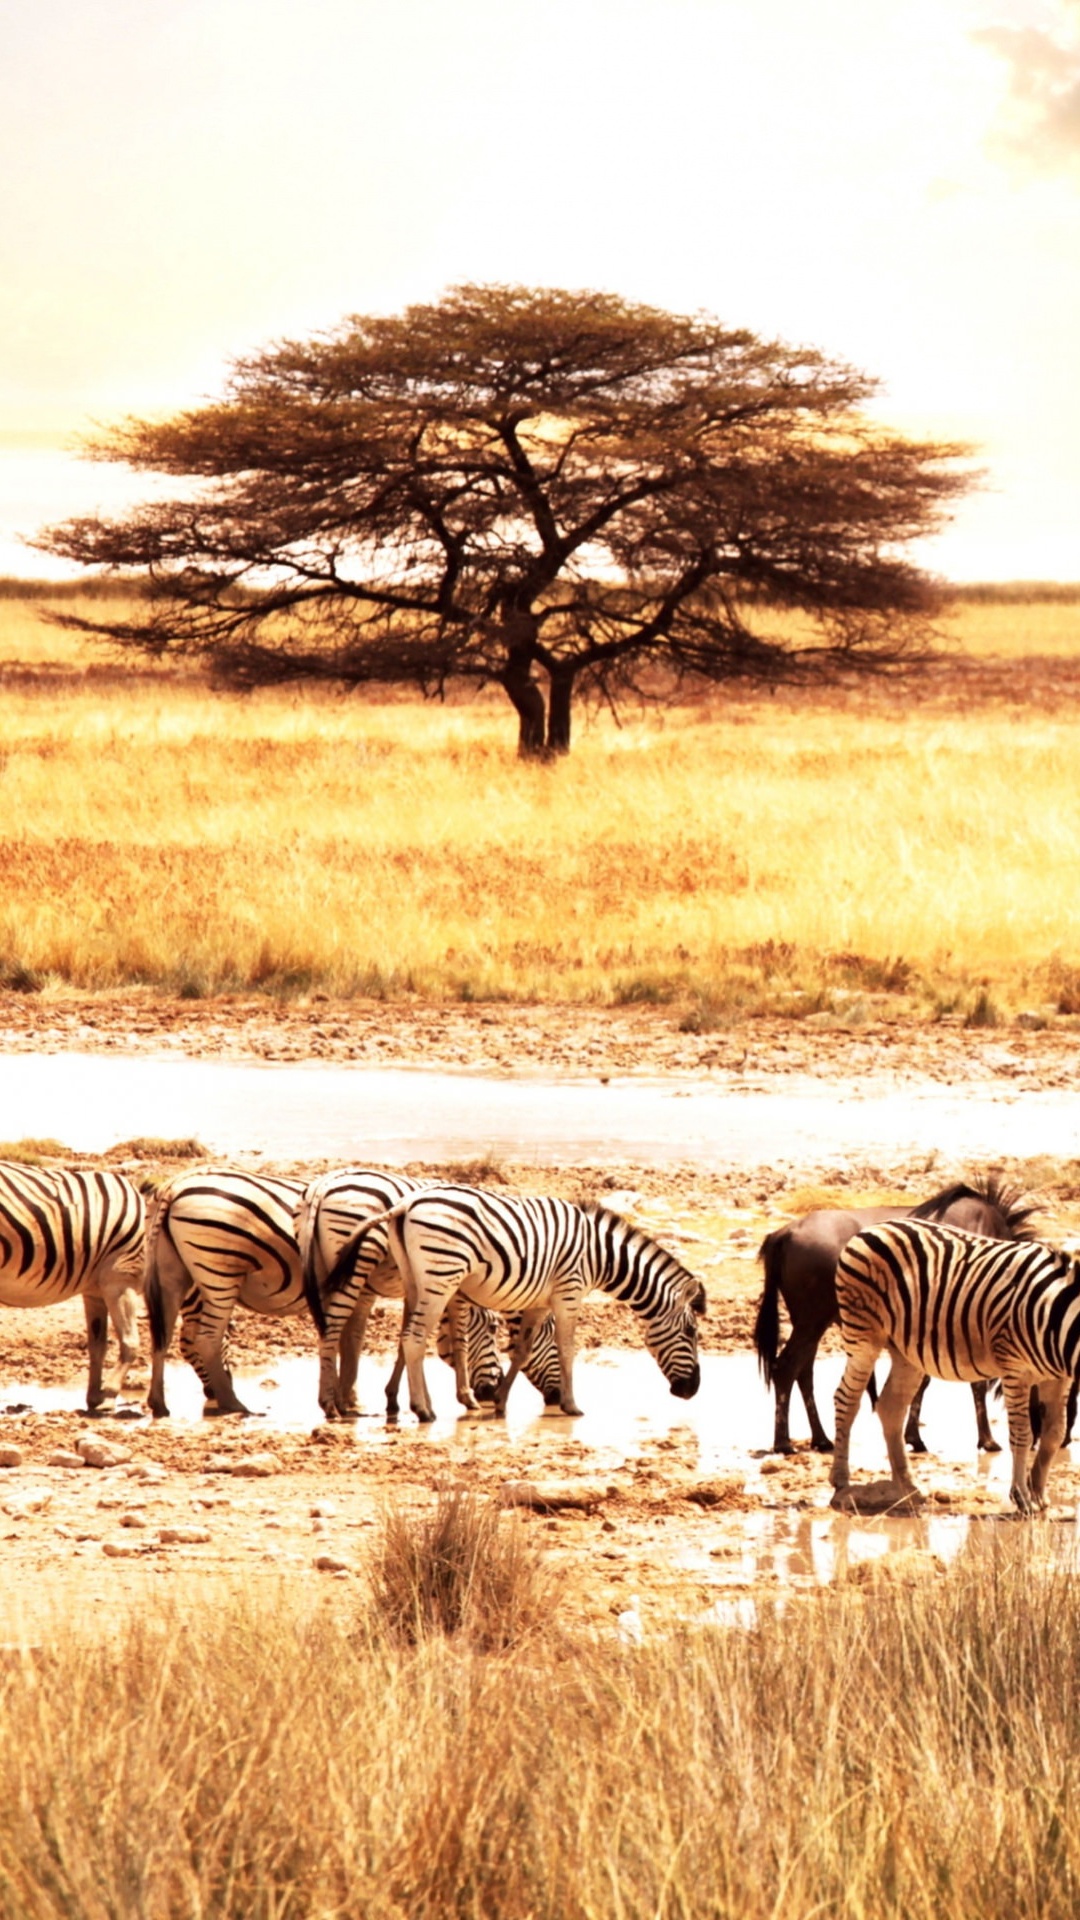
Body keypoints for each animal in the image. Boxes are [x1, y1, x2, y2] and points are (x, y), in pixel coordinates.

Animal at [0, 1161, 144, 1410]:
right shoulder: (120, 1280)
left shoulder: (95, 1291)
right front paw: (109, 1395)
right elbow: (130, 1341)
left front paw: (95, 1396)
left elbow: (98, 1345)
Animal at [147, 1167, 513, 1420]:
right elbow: (457, 1339)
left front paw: (364, 1398)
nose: (491, 1390)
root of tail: (174, 1185)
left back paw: (162, 1403)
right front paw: (465, 1397)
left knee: (164, 1336)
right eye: (495, 1329)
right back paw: (236, 1404)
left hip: (175, 1274)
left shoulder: (382, 1288)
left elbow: (369, 1341)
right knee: (205, 1338)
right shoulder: (440, 1284)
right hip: (221, 1270)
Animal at [325, 1185, 706, 1422]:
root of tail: (403, 1206)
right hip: (441, 1275)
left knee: (407, 1339)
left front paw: (501, 1403)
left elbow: (522, 1351)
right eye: (691, 1333)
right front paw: (571, 1405)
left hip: (415, 1278)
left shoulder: (540, 1300)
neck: (601, 1256)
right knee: (415, 1339)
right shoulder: (569, 1292)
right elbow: (567, 1349)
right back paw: (423, 1410)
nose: (691, 1391)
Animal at [831, 1218, 1080, 1514]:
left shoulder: (1058, 1378)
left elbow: (1054, 1433)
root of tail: (873, 1227)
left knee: (891, 1407)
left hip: (906, 1353)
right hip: (863, 1336)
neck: (1056, 1317)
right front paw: (1022, 1497)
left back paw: (908, 1488)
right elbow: (1023, 1435)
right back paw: (841, 1482)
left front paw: (1040, 1495)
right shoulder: (1014, 1370)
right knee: (846, 1399)